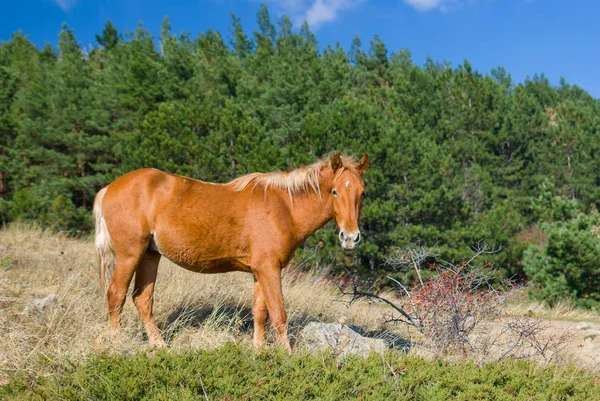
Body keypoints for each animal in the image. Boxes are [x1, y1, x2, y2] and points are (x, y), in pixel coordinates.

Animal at [94, 152, 368, 348]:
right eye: (334, 191)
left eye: (362, 193)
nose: (350, 238)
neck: (284, 207)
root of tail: (109, 188)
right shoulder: (269, 269)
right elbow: (279, 315)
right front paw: (287, 357)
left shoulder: (260, 270)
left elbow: (260, 313)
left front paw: (259, 352)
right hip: (130, 255)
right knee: (116, 294)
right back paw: (116, 343)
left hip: (150, 255)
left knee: (142, 299)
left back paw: (159, 345)